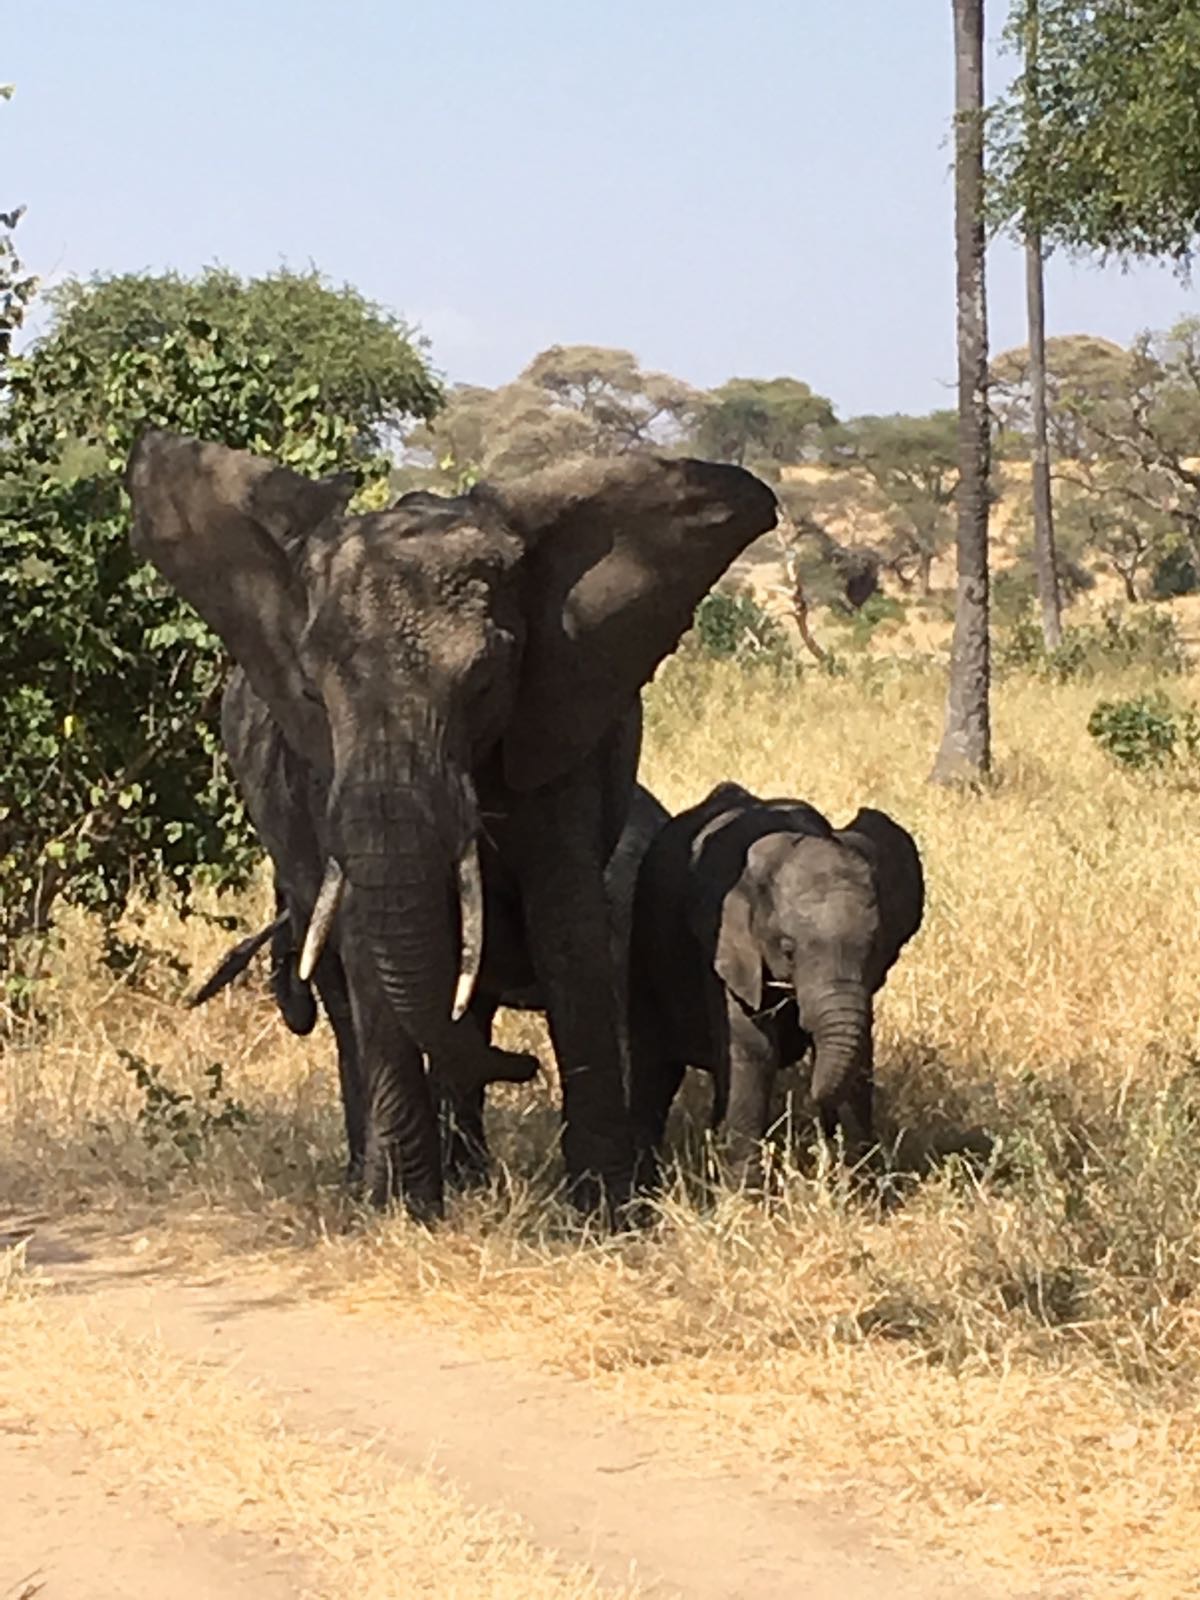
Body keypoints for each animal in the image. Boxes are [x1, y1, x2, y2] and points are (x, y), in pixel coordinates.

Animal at [127, 434, 776, 1220]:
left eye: (487, 681)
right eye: (313, 690)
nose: (522, 1068)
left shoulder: (558, 727)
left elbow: (568, 930)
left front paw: (603, 1212)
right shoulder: (320, 767)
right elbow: (369, 943)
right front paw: (404, 1208)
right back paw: (375, 1179)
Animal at [627, 781, 924, 1187]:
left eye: (876, 946)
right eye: (787, 949)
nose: (813, 1109)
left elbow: (862, 1050)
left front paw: (864, 1180)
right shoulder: (723, 945)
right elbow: (753, 1050)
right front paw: (743, 1194)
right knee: (655, 1071)